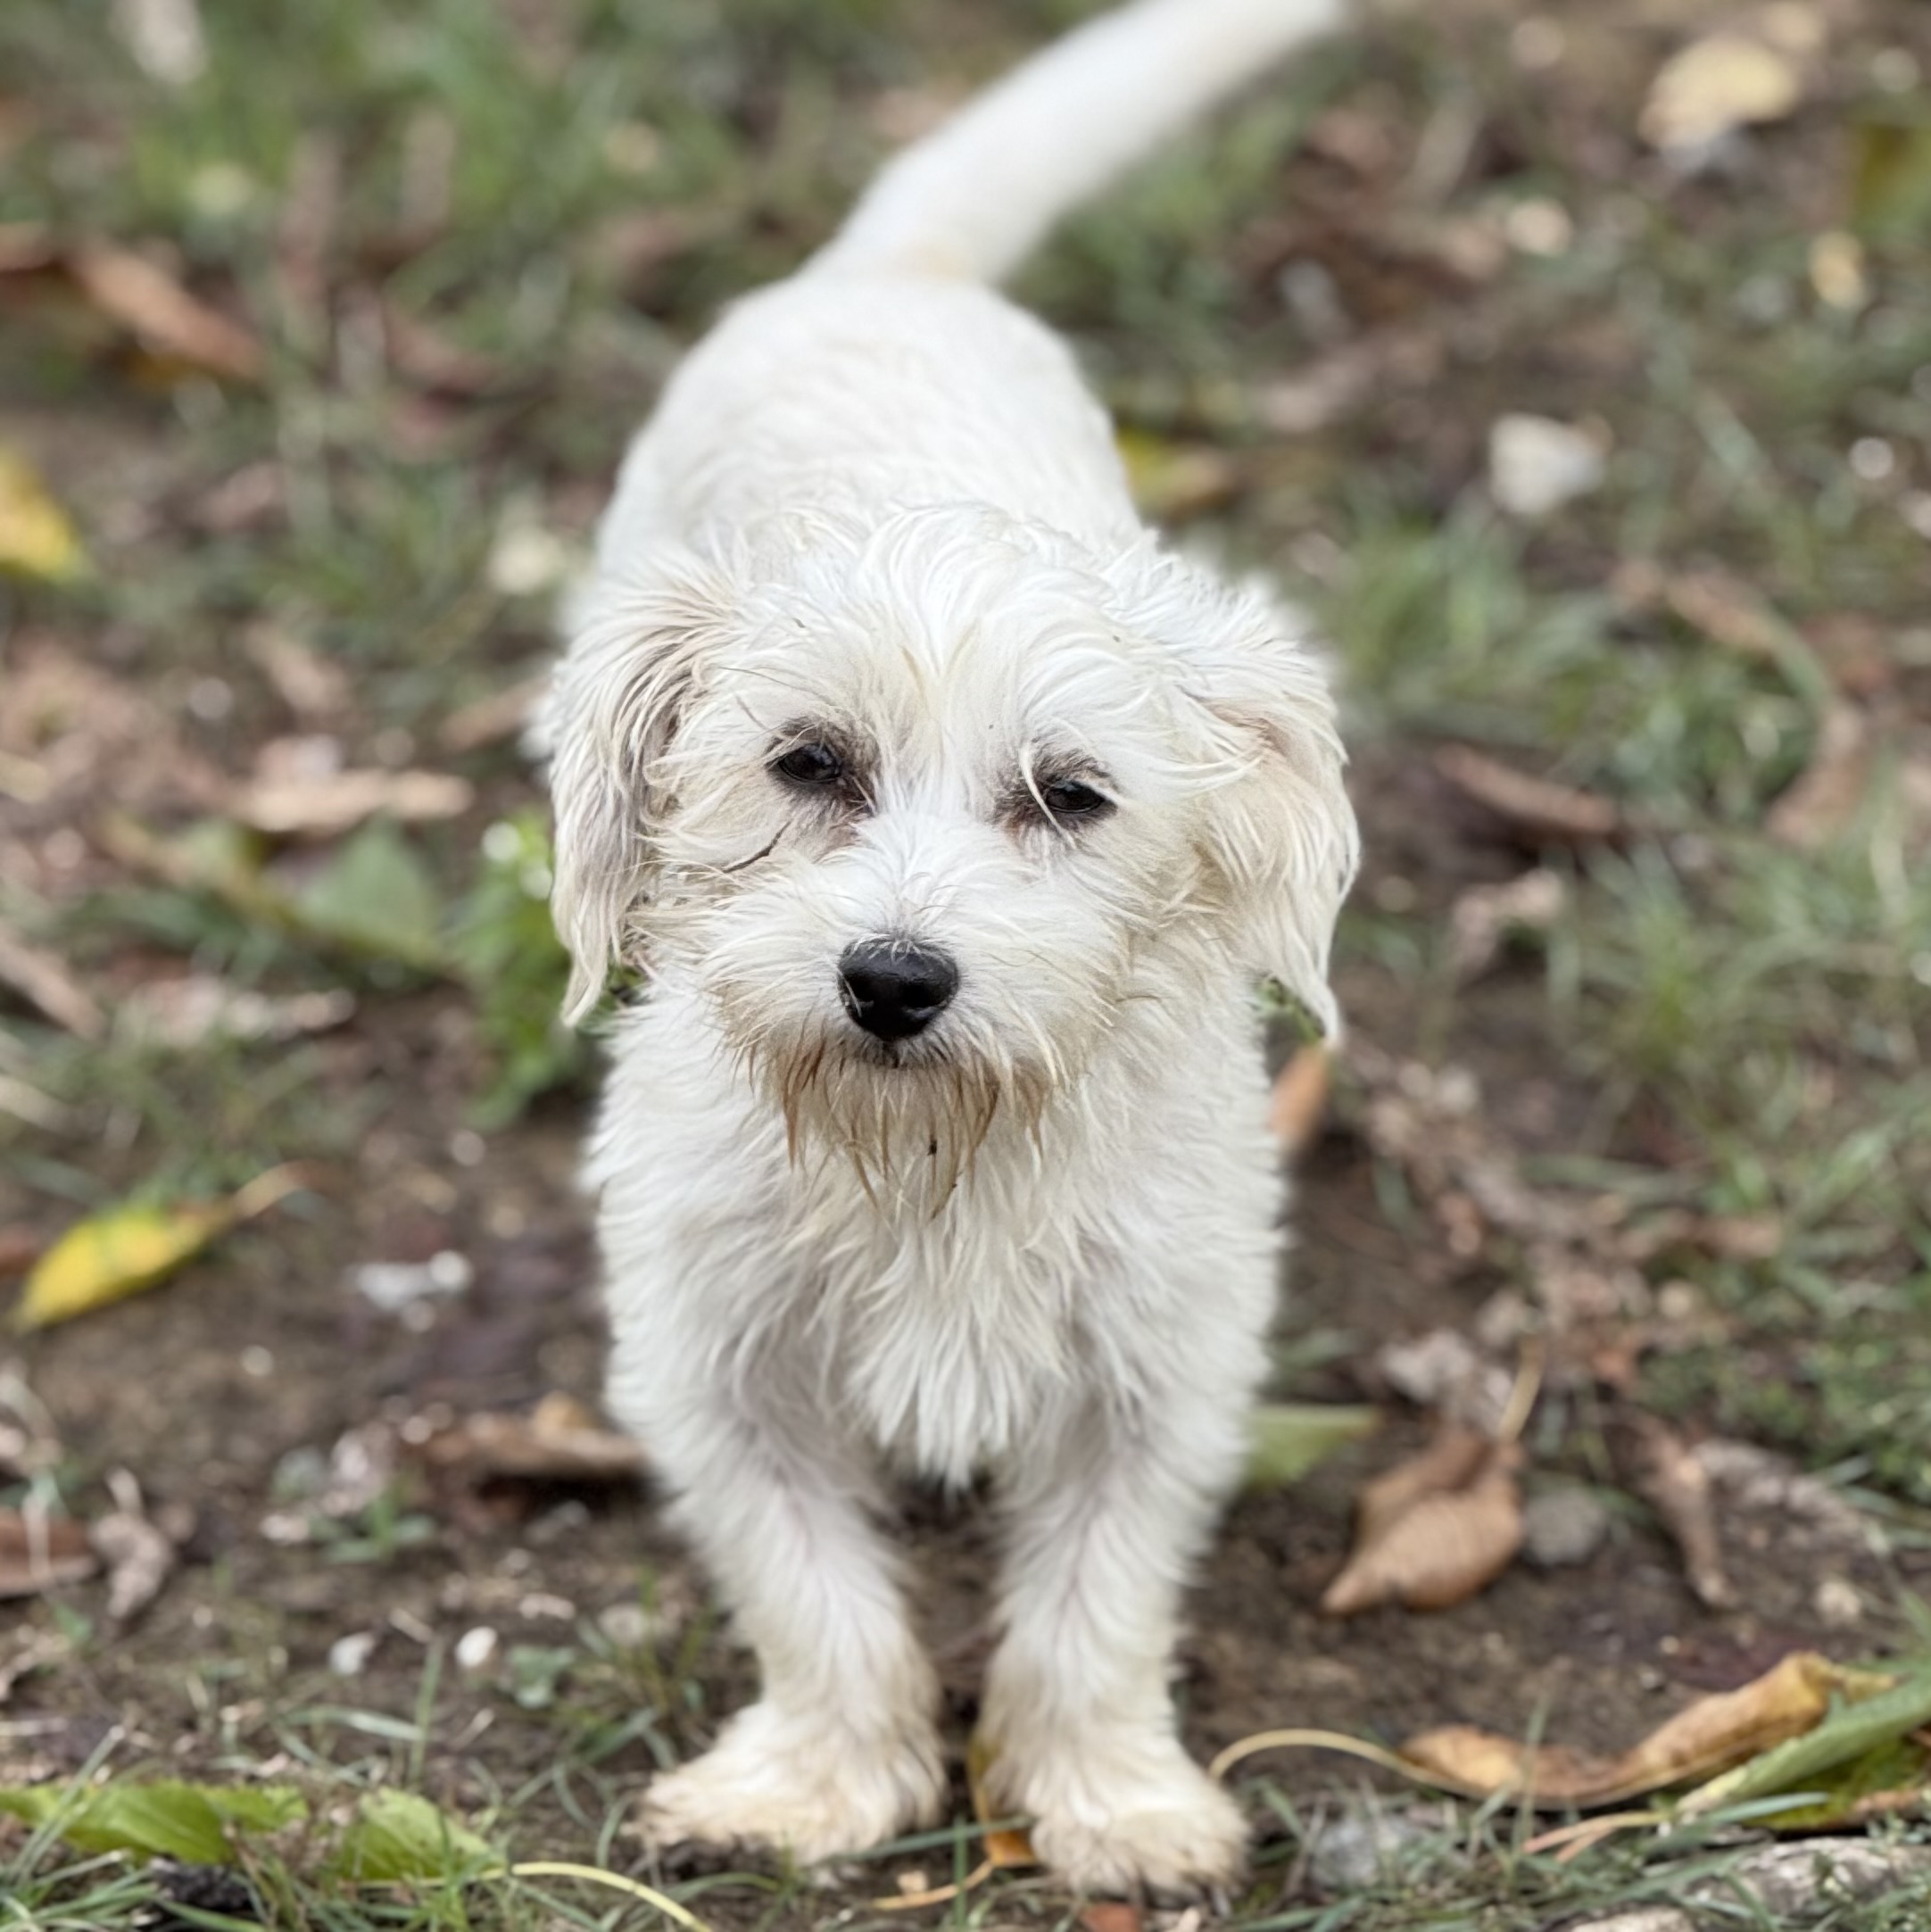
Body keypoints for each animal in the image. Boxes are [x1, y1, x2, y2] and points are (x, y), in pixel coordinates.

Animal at [544, 0, 1358, 1896]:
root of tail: (886, 272)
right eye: (803, 765)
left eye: (1069, 796)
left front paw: (1113, 1804)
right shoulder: (716, 1373)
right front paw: (815, 1786)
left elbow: (1092, 1615)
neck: (932, 1157)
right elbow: (813, 1599)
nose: (895, 982)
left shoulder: (1157, 1377)